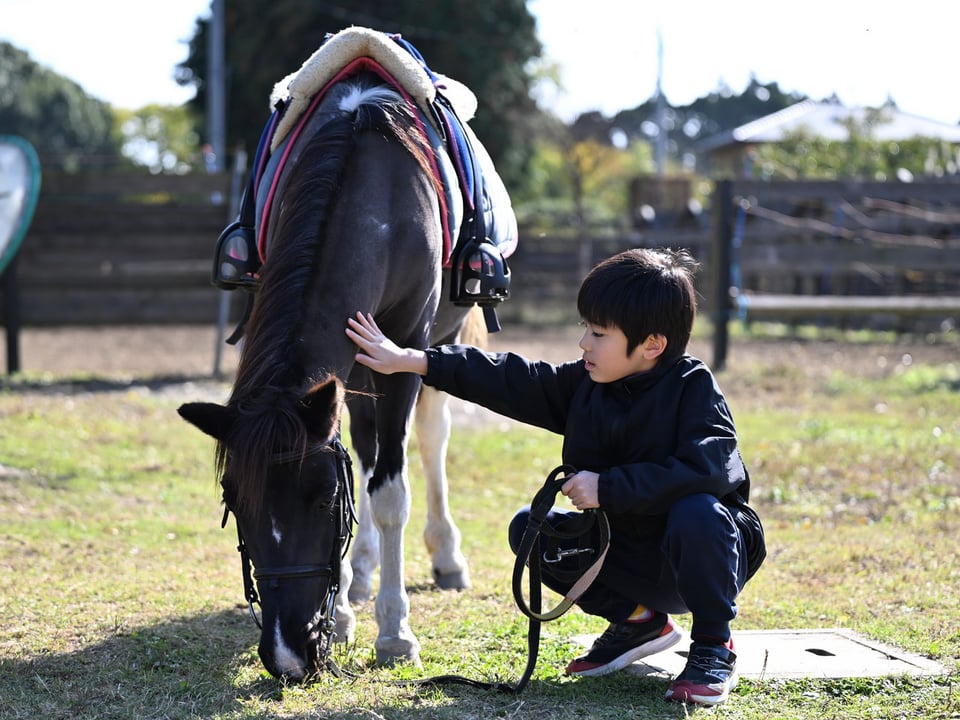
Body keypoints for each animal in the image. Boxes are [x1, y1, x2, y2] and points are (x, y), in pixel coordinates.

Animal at [177, 33, 514, 681]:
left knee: (428, 440)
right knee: (365, 445)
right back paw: (358, 580)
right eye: (237, 503)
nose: (287, 654)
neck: (372, 197)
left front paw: (395, 633)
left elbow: (388, 493)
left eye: (323, 501)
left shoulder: (405, 347)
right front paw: (341, 616)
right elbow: (359, 463)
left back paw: (445, 557)